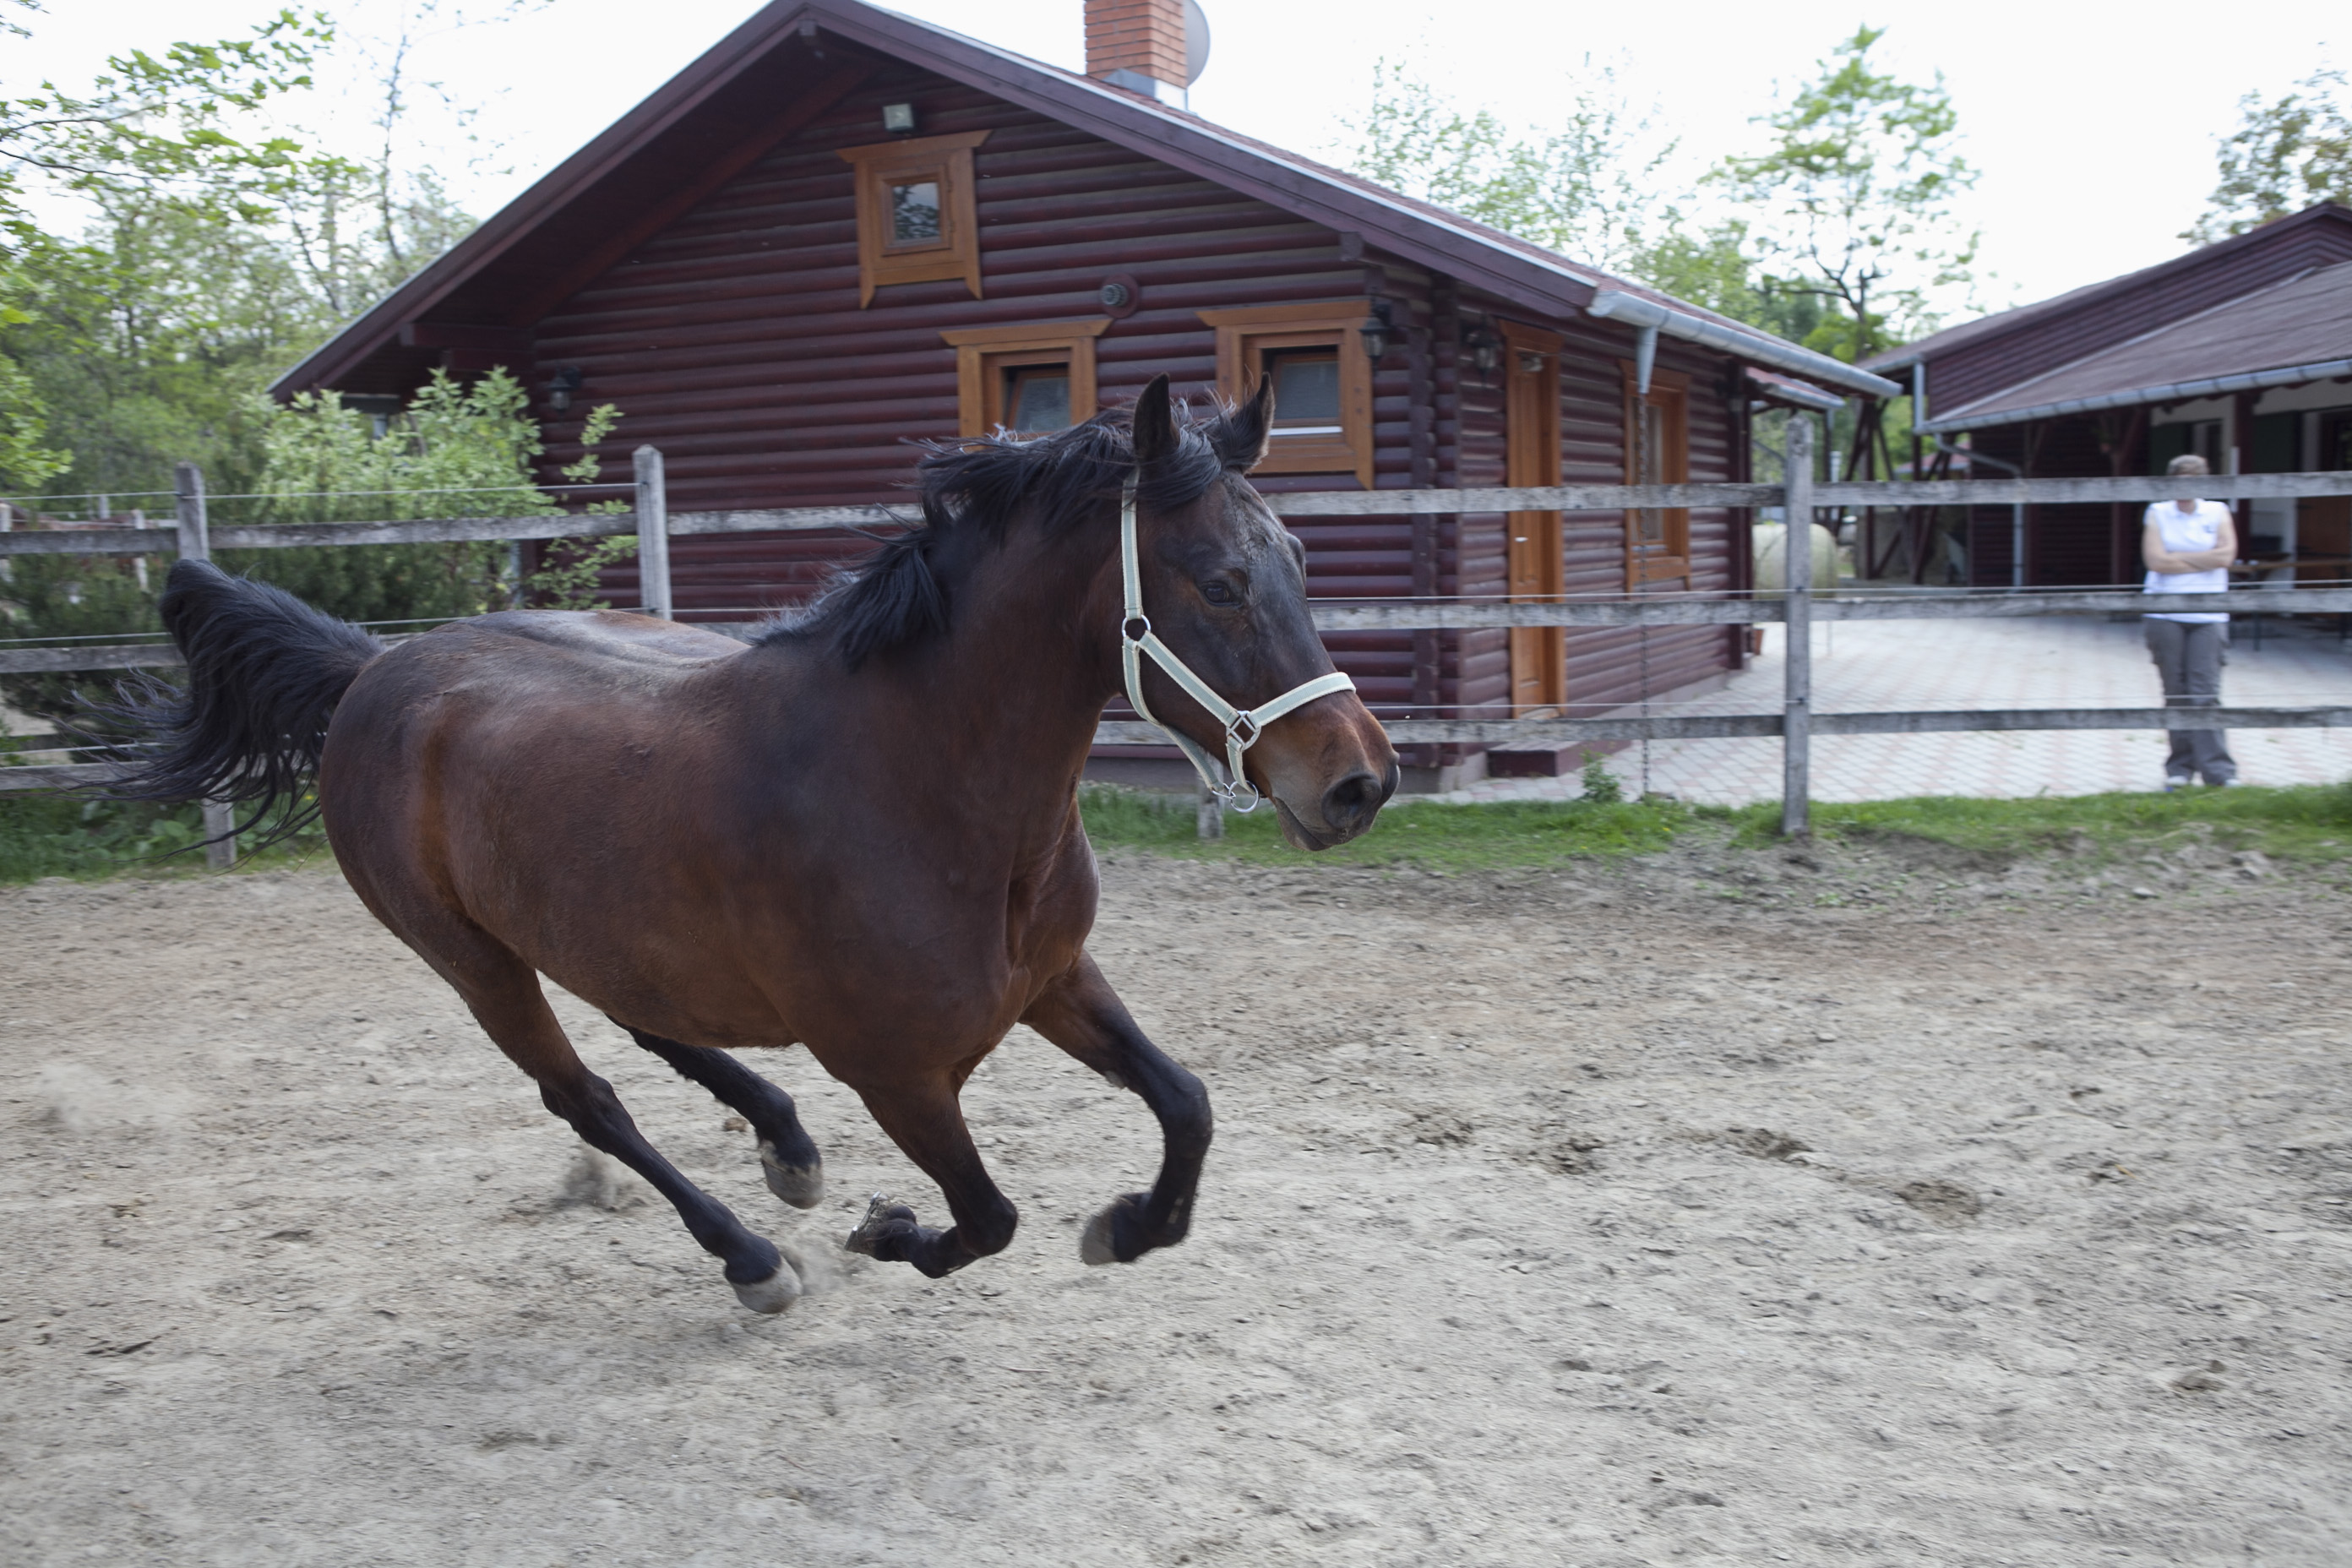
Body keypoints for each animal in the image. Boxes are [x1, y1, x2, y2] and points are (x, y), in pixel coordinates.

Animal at [110, 380, 1392, 1316]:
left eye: (1300, 563)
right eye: (1219, 583)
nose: (1360, 782)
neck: (917, 788)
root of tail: (375, 667)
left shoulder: (1055, 980)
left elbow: (1187, 1104)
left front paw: (1125, 1227)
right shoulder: (896, 1070)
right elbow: (986, 1218)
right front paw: (889, 1229)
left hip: (601, 924)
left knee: (649, 1024)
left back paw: (785, 1144)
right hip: (474, 960)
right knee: (589, 1099)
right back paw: (752, 1257)